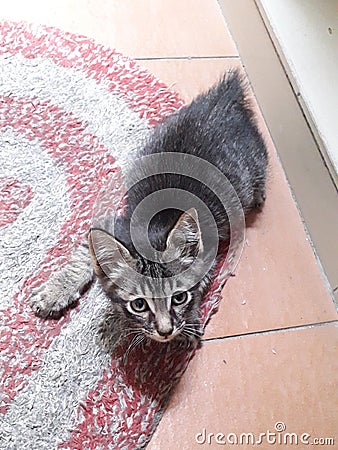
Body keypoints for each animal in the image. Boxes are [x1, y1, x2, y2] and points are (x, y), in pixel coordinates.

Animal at [31, 70, 270, 352]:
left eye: (178, 298)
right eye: (139, 304)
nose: (165, 331)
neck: (154, 225)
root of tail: (223, 98)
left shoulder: (207, 248)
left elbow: (199, 283)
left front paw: (190, 319)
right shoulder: (114, 222)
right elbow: (82, 257)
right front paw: (56, 289)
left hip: (251, 166)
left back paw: (259, 194)